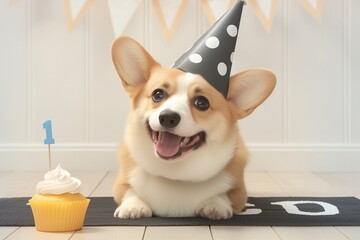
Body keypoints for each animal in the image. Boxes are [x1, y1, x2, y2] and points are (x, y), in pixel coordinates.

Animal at [112, 36, 276, 219]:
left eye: (202, 103)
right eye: (158, 94)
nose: (168, 117)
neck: (175, 175)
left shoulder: (239, 191)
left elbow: (225, 195)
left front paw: (215, 205)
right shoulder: (121, 184)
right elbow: (130, 191)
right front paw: (133, 206)